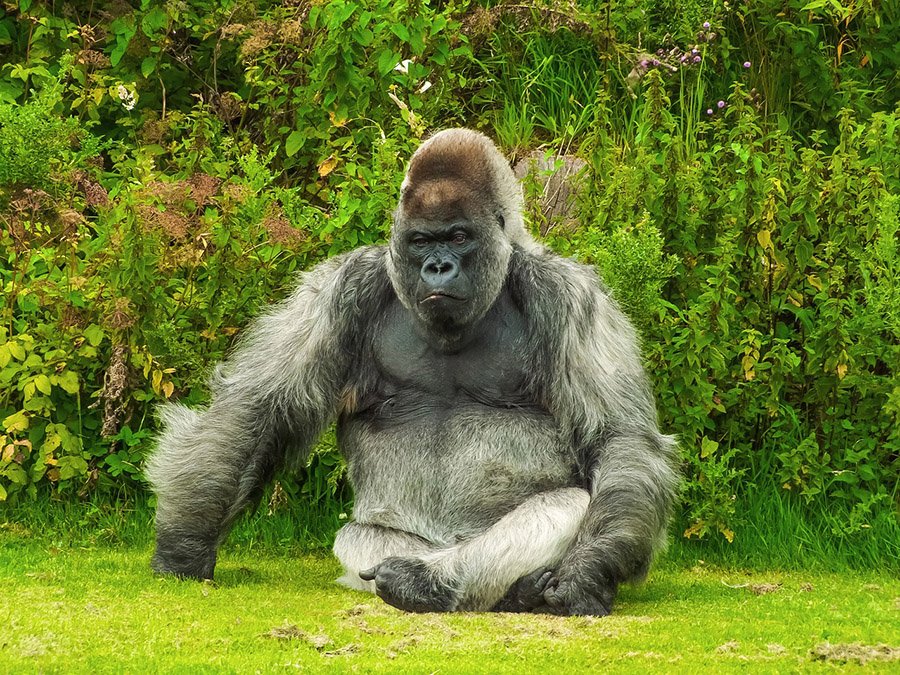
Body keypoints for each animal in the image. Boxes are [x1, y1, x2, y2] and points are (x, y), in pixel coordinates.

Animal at [148, 128, 680, 616]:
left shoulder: (571, 296)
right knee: (360, 536)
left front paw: (588, 570)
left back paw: (437, 582)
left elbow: (618, 439)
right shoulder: (339, 290)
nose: (438, 268)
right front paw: (185, 544)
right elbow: (257, 409)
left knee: (569, 505)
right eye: (422, 241)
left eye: (459, 237)